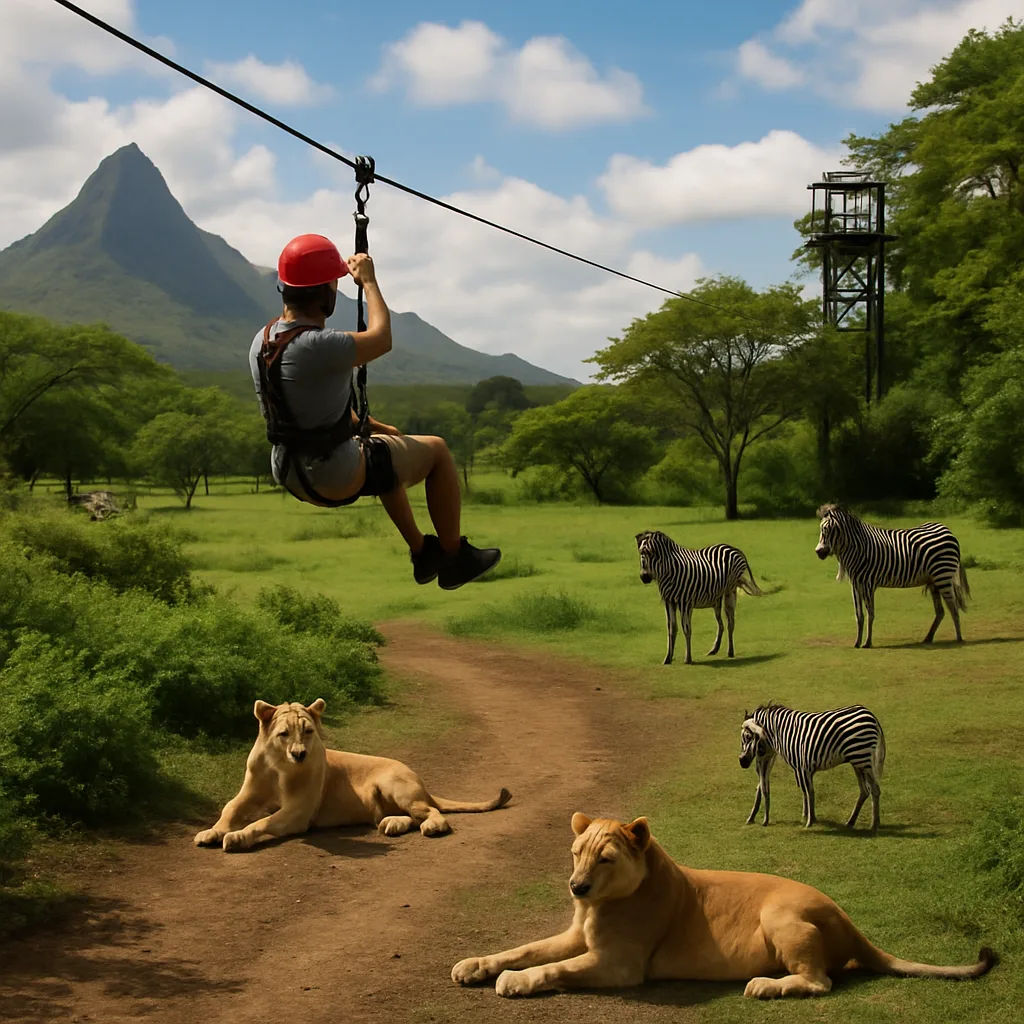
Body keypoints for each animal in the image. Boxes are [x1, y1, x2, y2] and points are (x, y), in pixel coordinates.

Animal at [194, 699, 511, 852]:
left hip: (394, 784)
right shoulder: (249, 793)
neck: (279, 765)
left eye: (308, 731)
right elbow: (230, 809)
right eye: (284, 734)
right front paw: (211, 831)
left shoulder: (298, 812)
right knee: (409, 816)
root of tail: (421, 782)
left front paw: (237, 837)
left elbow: (261, 822)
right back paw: (392, 823)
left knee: (433, 812)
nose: (300, 754)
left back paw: (430, 826)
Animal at [452, 814, 994, 1000]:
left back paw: (768, 986)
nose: (575, 887)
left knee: (820, 981)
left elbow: (553, 968)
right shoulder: (575, 934)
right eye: (575, 854)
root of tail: (848, 918)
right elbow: (525, 949)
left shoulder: (620, 965)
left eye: (605, 859)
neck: (599, 905)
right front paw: (475, 964)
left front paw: (516, 982)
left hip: (780, 914)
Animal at [635, 530, 762, 665]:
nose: (644, 578)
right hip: (717, 598)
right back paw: (714, 649)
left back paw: (730, 652)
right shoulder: (669, 601)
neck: (668, 572)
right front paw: (668, 658)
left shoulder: (685, 602)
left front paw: (688, 658)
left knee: (730, 622)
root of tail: (734, 548)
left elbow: (686, 629)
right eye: (641, 553)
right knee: (722, 624)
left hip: (730, 591)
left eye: (652, 554)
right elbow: (671, 629)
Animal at [739, 703, 886, 833]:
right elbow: (807, 792)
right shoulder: (803, 768)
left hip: (862, 759)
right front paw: (810, 818)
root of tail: (869, 713)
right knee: (865, 791)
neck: (784, 734)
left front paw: (809, 821)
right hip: (857, 762)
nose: (742, 762)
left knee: (875, 789)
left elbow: (809, 792)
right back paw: (851, 822)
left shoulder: (803, 765)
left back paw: (874, 825)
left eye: (747, 737)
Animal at [815, 503, 970, 649]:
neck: (858, 549)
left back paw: (959, 638)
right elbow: (859, 615)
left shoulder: (868, 584)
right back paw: (928, 638)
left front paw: (867, 642)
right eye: (822, 529)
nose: (819, 552)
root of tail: (947, 530)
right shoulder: (855, 585)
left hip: (943, 576)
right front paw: (857, 642)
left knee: (953, 608)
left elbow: (870, 614)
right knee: (941, 611)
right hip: (934, 581)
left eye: (829, 529)